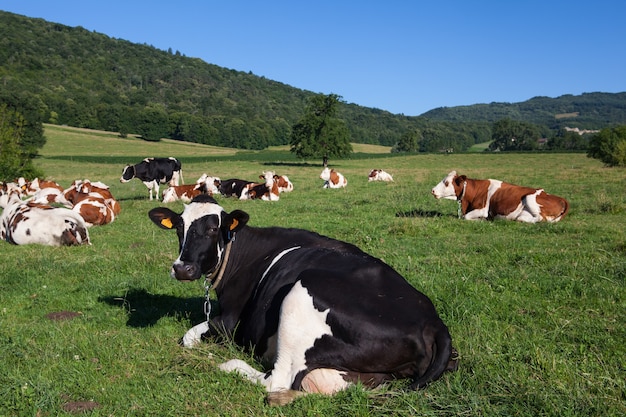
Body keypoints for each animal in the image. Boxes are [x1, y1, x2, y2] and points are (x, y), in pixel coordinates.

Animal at [149, 194, 456, 404]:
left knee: (277, 380)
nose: (182, 269)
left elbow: (189, 337)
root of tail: (433, 321)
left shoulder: (230, 322)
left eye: (214, 229)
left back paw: (228, 365)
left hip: (301, 293)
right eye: (179, 228)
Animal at [432, 169, 568, 223]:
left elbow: (467, 217)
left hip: (529, 197)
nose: (432, 190)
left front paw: (481, 220)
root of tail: (561, 198)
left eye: (446, 183)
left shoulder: (482, 210)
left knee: (541, 218)